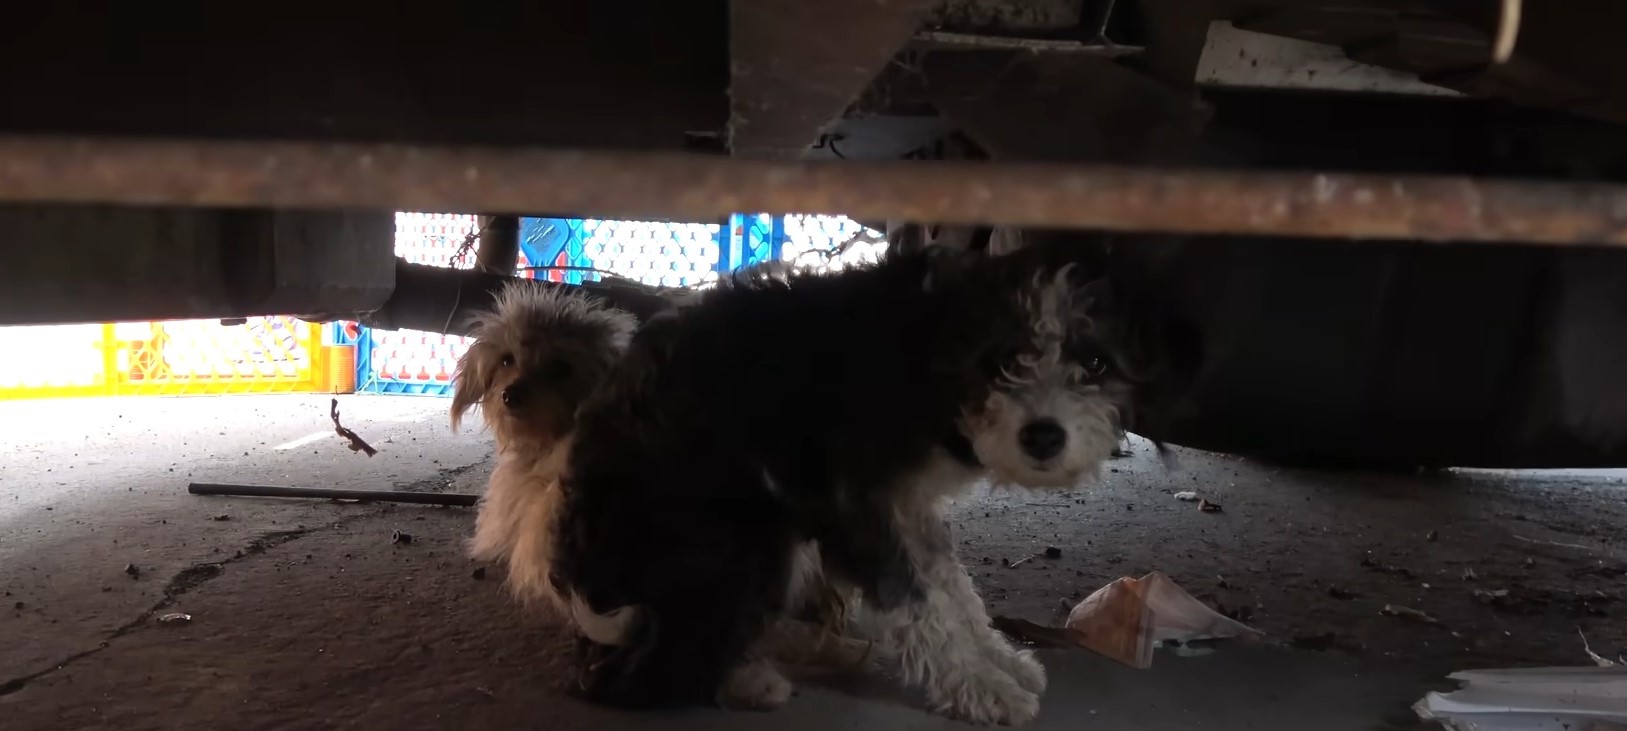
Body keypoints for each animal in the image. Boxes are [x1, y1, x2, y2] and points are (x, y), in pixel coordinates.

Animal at [553, 242, 1138, 719]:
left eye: (1094, 362)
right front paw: (982, 689)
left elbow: (953, 588)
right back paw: (746, 680)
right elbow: (917, 602)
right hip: (747, 536)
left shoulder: (908, 504)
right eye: (1003, 360)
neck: (922, 350)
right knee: (636, 675)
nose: (1044, 436)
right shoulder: (852, 503)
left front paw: (1000, 660)